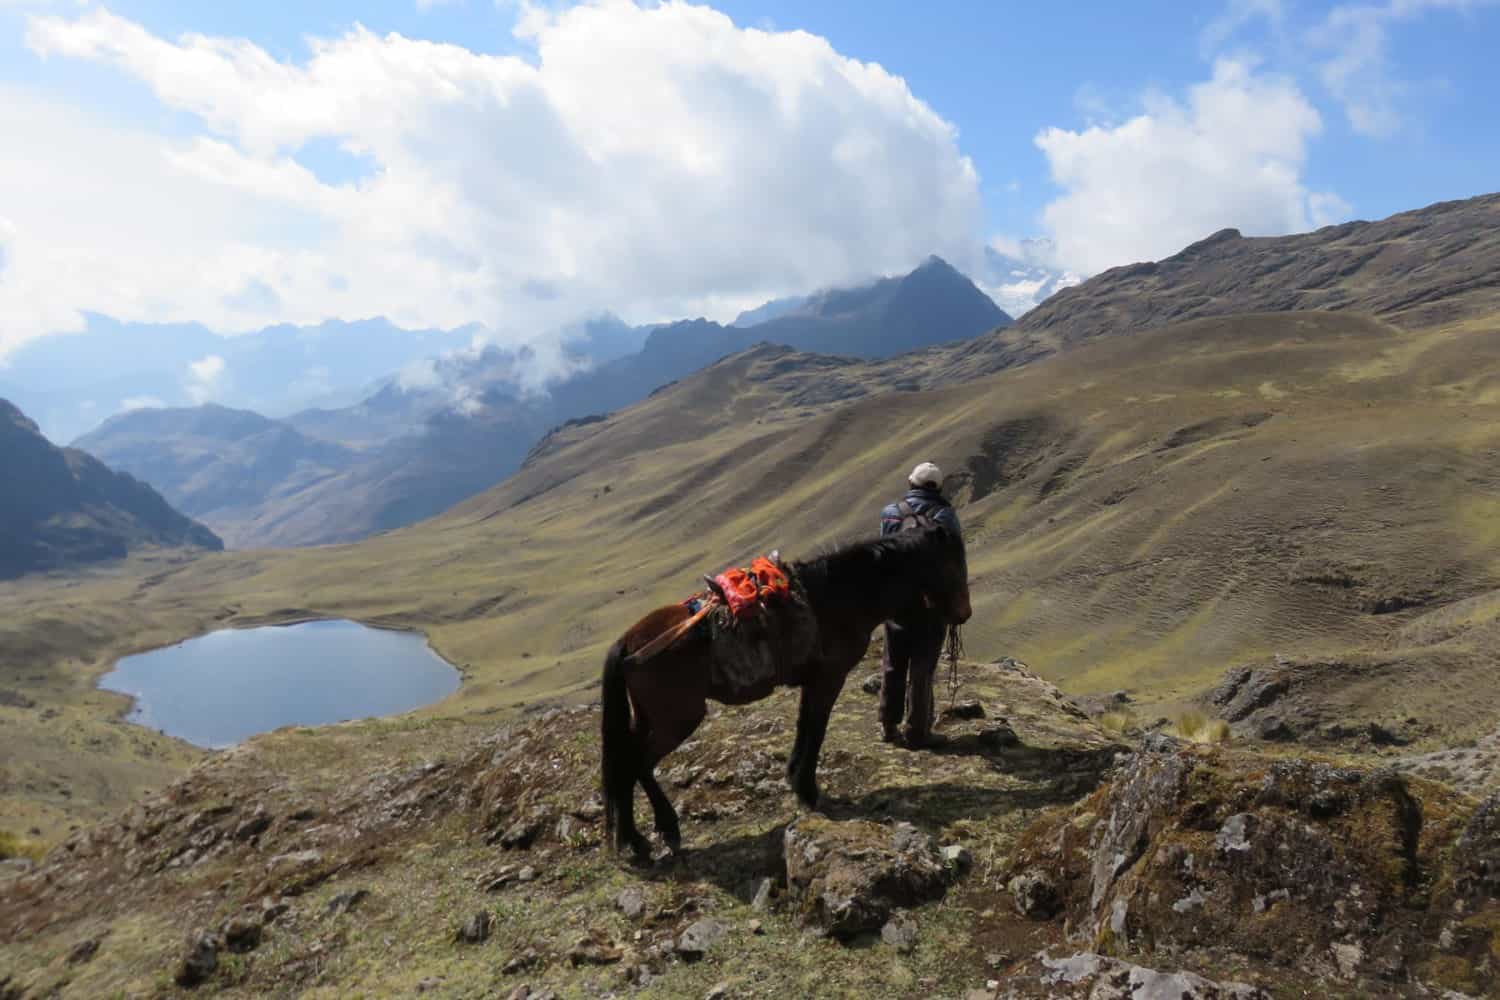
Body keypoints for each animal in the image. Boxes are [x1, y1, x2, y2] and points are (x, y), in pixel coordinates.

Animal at [597, 524, 972, 863]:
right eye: (953, 563)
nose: (964, 614)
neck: (840, 596)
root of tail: (628, 642)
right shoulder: (829, 678)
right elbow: (816, 729)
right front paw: (808, 792)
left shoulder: (814, 680)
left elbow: (806, 726)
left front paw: (796, 781)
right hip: (679, 718)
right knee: (635, 763)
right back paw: (660, 833)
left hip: (651, 717)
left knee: (626, 762)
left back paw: (637, 840)